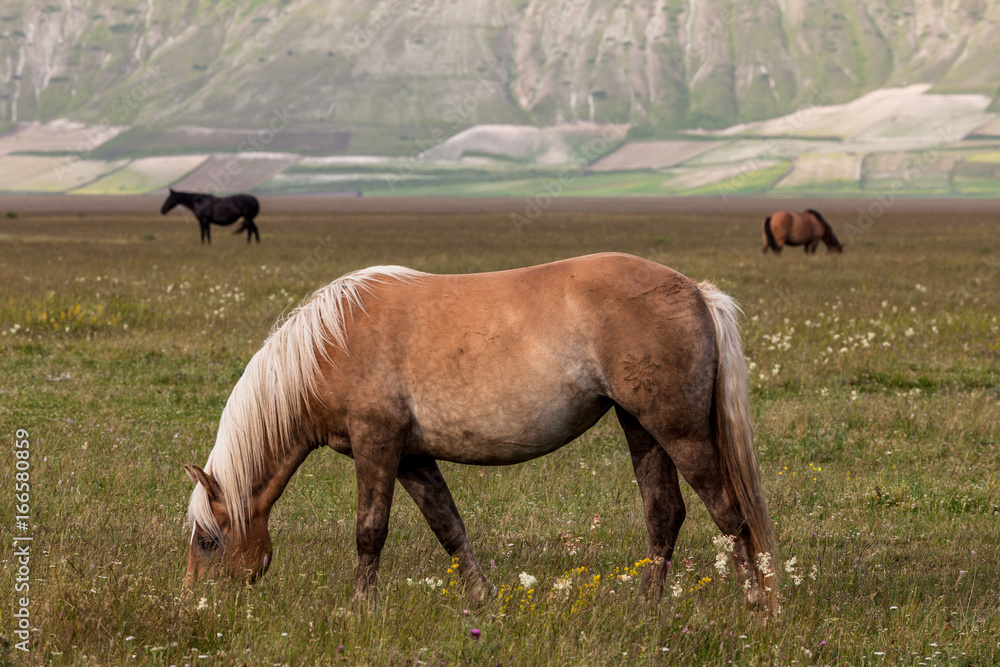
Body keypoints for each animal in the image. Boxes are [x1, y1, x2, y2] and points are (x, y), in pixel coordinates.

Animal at [181, 253, 779, 611]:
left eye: (209, 542)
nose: (192, 603)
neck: (330, 345)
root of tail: (696, 291)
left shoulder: (377, 446)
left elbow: (369, 530)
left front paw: (359, 608)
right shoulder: (411, 457)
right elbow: (449, 527)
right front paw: (482, 600)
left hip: (679, 432)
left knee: (729, 513)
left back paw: (755, 605)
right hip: (641, 428)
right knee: (664, 513)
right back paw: (647, 608)